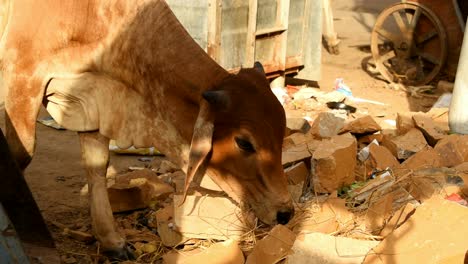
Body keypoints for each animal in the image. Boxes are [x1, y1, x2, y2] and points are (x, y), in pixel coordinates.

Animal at [0, 0, 292, 256]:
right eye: (244, 143)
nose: (286, 212)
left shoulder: (94, 103)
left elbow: (97, 167)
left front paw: (112, 241)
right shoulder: (22, 77)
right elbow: (21, 154)